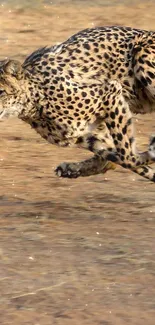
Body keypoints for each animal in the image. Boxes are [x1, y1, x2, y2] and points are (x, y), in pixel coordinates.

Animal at [0, 25, 155, 181]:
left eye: (1, 91)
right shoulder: (88, 136)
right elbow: (119, 159)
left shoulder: (110, 92)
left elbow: (127, 155)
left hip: (141, 54)